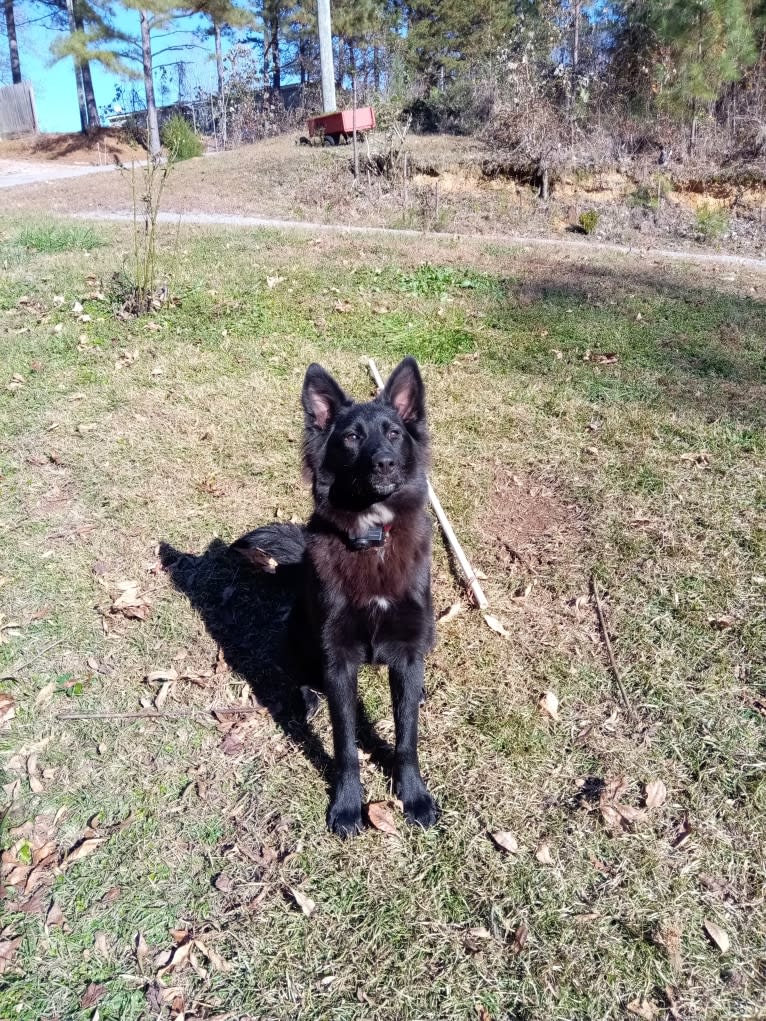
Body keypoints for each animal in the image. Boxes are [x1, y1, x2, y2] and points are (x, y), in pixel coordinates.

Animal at [230, 359, 437, 837]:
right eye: (351, 437)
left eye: (393, 433)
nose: (384, 463)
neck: (373, 540)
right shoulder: (338, 657)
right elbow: (344, 743)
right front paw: (346, 805)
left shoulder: (408, 645)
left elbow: (407, 736)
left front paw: (413, 795)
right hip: (299, 631)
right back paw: (307, 695)